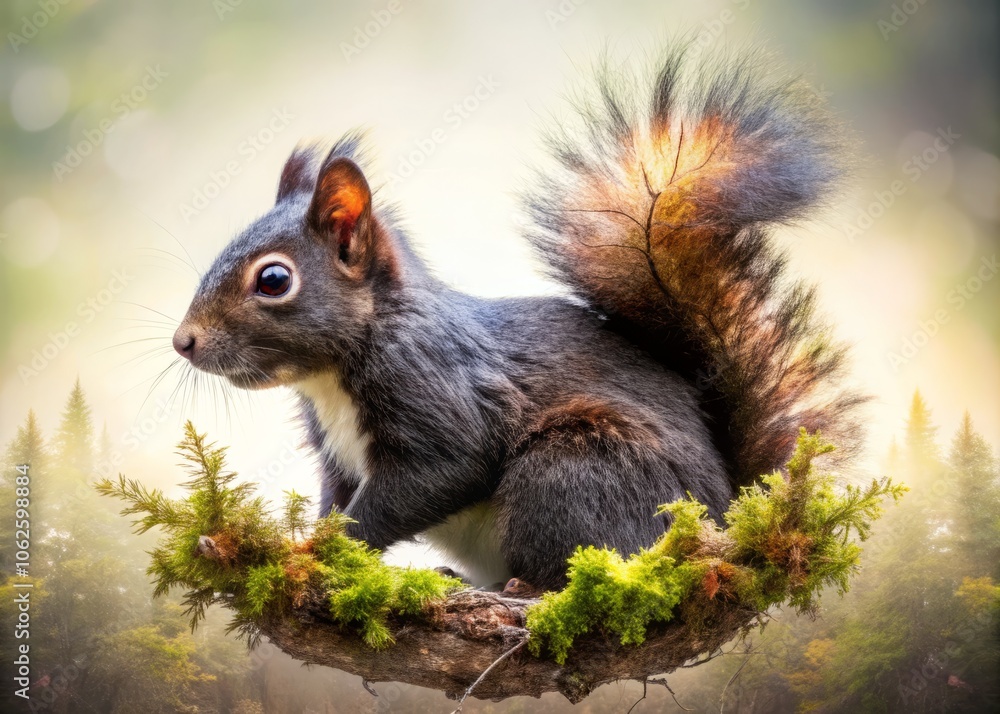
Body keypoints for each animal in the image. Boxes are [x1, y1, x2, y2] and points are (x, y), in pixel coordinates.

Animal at [172, 45, 862, 590]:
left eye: (274, 280)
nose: (183, 342)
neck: (335, 370)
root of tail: (724, 517)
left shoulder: (434, 391)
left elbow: (434, 476)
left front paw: (322, 551)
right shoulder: (336, 455)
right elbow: (335, 499)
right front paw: (311, 542)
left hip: (572, 470)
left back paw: (522, 591)